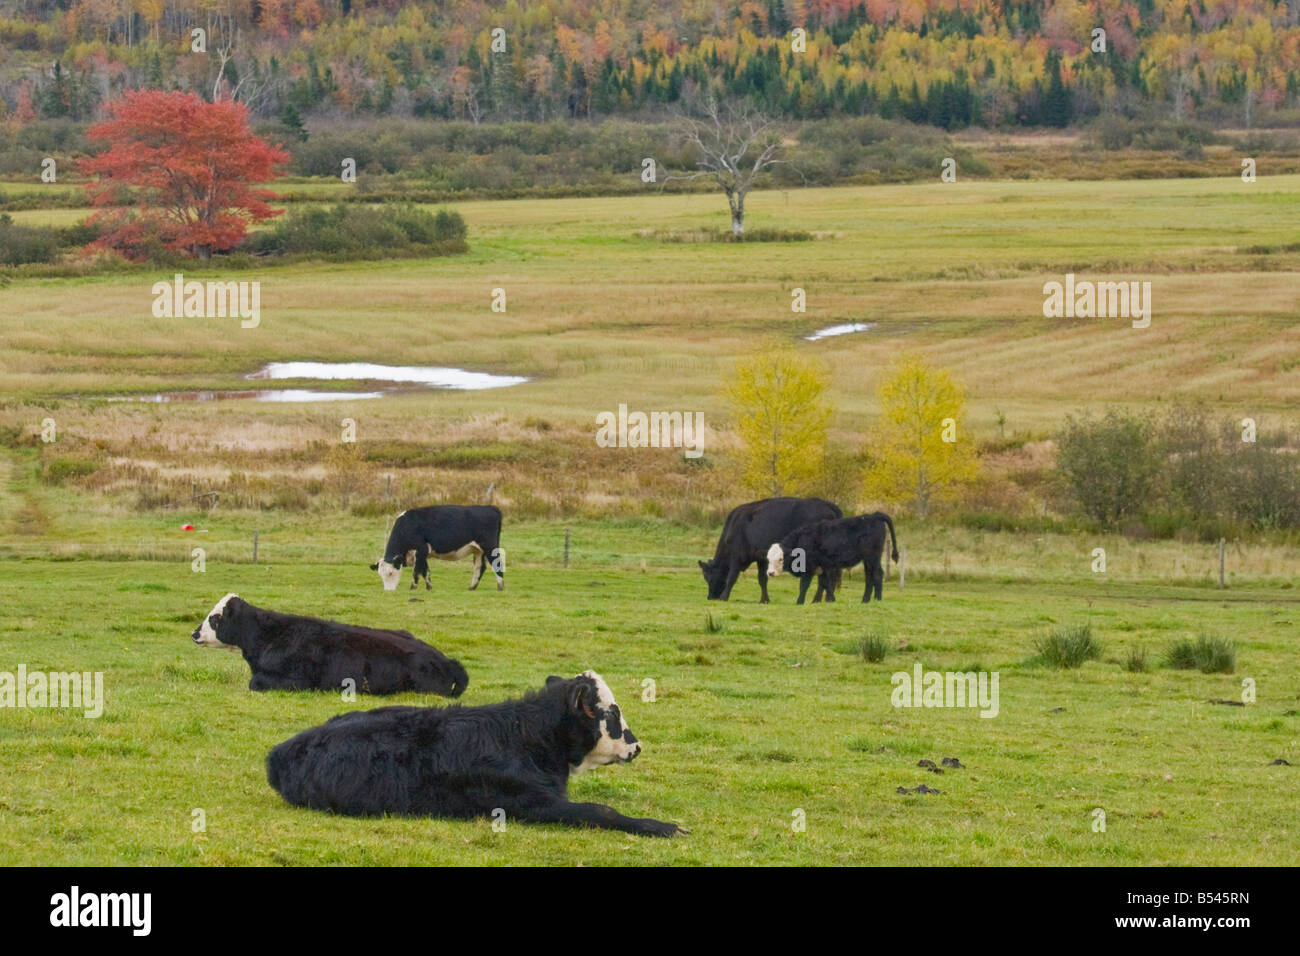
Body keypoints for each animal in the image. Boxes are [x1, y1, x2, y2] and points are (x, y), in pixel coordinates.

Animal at [195, 590, 470, 697]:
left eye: (215, 618)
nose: (194, 633)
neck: (269, 636)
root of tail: (446, 660)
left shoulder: (295, 681)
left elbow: (254, 683)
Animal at [267, 671, 686, 837]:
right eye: (611, 714)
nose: (637, 746)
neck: (526, 738)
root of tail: (281, 750)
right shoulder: (534, 804)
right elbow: (601, 811)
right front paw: (662, 826)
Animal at [371, 504, 506, 595]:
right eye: (380, 574)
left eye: (390, 573)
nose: (388, 591)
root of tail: (490, 507)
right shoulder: (423, 553)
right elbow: (425, 571)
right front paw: (429, 587)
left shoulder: (421, 549)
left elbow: (416, 571)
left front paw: (413, 588)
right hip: (478, 550)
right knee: (479, 567)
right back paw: (472, 587)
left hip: (490, 547)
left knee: (497, 564)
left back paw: (500, 586)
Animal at [702, 496, 842, 600]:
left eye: (709, 578)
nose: (710, 597)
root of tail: (827, 504)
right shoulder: (761, 558)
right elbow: (762, 579)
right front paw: (764, 600)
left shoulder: (737, 556)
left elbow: (732, 577)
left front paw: (724, 597)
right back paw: (820, 599)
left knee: (826, 574)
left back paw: (823, 599)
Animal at [764, 512, 899, 600]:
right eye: (769, 559)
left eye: (780, 558)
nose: (770, 573)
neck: (802, 540)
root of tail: (873, 515)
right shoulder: (822, 567)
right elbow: (825, 583)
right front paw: (831, 599)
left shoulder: (809, 568)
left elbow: (804, 585)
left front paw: (799, 602)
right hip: (867, 560)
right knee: (869, 576)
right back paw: (865, 600)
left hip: (873, 557)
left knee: (877, 574)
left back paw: (877, 599)